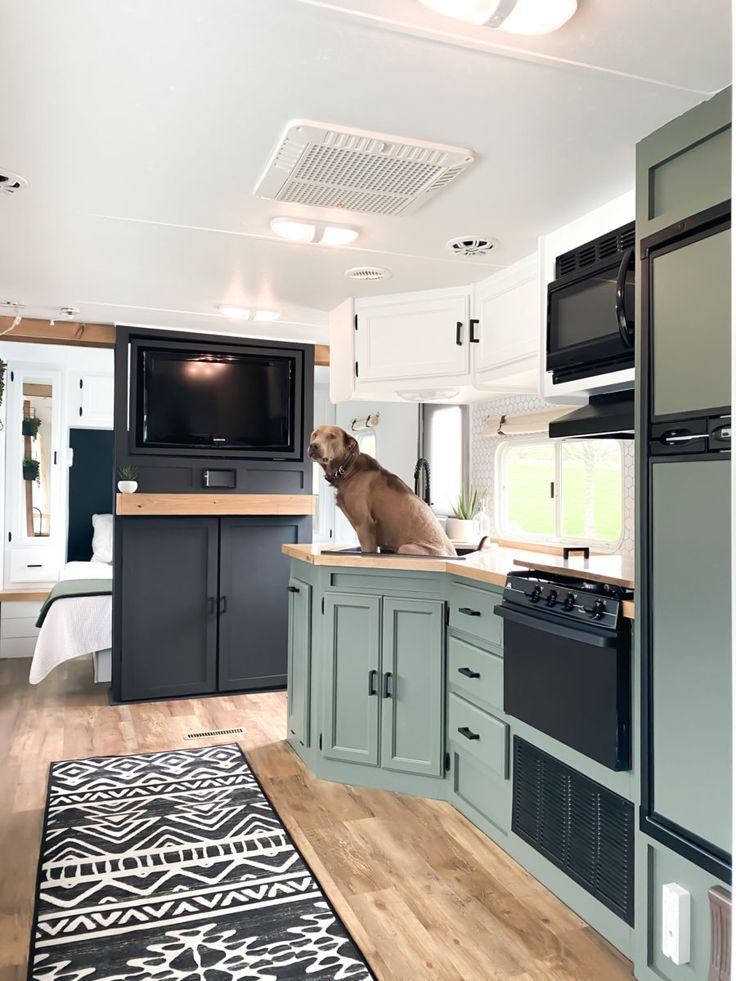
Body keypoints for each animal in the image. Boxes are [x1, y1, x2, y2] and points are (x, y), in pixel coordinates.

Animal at [304, 424, 454, 556]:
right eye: (314, 435)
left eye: (332, 436)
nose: (313, 445)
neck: (347, 469)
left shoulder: (364, 524)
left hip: (405, 548)